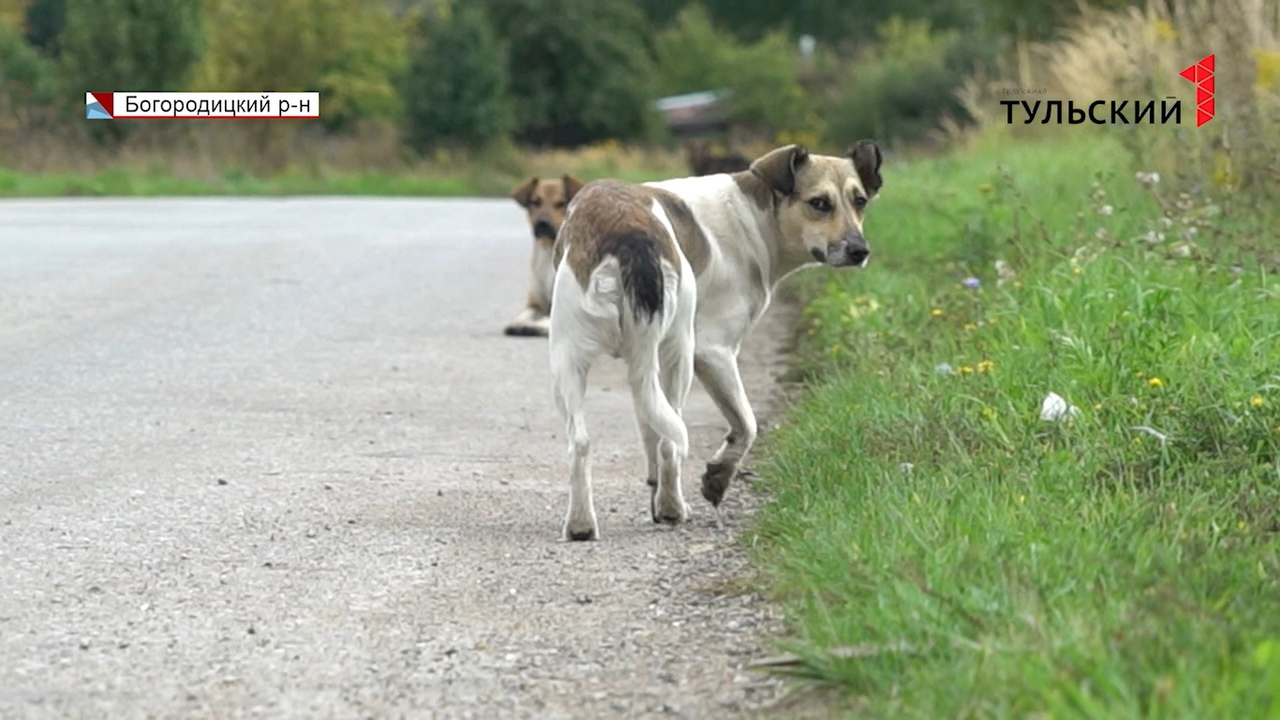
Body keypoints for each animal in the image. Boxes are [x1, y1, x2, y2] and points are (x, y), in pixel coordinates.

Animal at [506, 172, 586, 335]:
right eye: (535, 202)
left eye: (561, 203)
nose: (542, 223)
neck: (549, 251)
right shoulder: (536, 303)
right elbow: (526, 313)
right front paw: (518, 322)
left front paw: (531, 326)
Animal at [545, 140, 885, 538]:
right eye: (819, 203)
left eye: (859, 201)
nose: (860, 250)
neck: (753, 217)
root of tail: (626, 232)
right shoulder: (714, 352)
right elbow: (746, 425)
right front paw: (718, 478)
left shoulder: (641, 369)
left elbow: (649, 430)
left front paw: (655, 493)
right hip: (678, 353)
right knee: (671, 443)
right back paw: (673, 508)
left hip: (570, 360)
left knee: (583, 442)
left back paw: (582, 523)